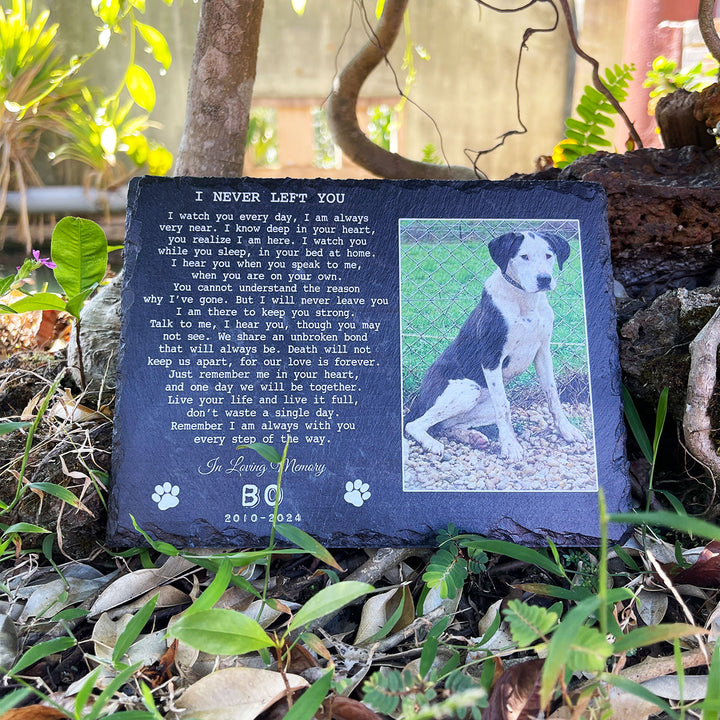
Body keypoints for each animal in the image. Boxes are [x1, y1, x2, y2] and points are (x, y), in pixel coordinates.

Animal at [404, 229, 584, 462]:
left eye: (549, 255)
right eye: (524, 256)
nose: (545, 279)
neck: (524, 300)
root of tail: (418, 400)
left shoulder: (543, 352)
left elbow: (552, 395)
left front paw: (566, 430)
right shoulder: (491, 357)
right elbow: (503, 406)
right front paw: (510, 446)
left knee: (443, 425)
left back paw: (471, 437)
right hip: (468, 389)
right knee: (414, 424)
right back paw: (432, 443)